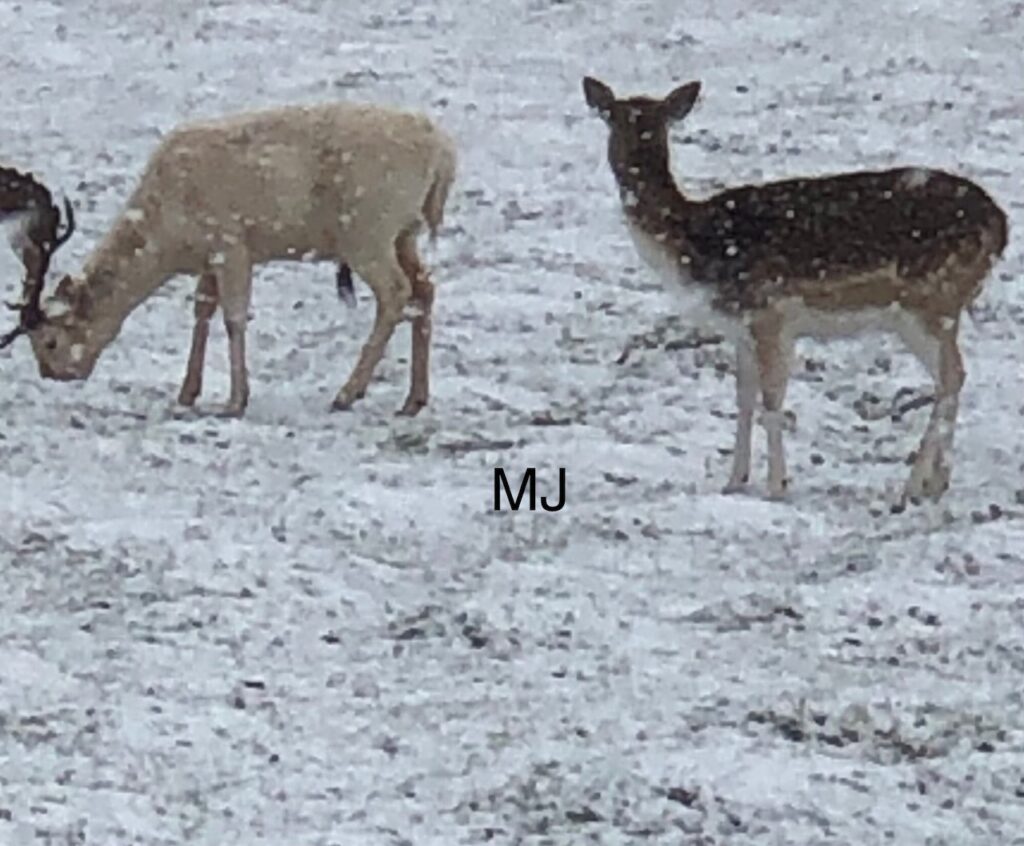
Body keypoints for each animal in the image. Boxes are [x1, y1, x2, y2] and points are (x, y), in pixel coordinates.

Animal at [17, 100, 456, 418]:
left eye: (50, 340)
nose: (53, 374)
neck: (167, 238)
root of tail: (443, 155)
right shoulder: (209, 258)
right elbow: (202, 310)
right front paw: (187, 393)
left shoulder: (231, 243)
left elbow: (233, 317)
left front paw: (233, 401)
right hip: (403, 233)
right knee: (425, 287)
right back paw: (414, 399)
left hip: (368, 231)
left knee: (396, 292)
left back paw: (347, 393)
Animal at [582, 76, 1008, 506]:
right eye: (613, 118)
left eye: (656, 126)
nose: (630, 169)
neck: (695, 245)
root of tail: (1000, 225)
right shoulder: (740, 328)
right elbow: (743, 399)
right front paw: (734, 481)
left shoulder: (770, 312)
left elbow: (772, 400)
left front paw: (776, 487)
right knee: (951, 377)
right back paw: (936, 483)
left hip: (930, 301)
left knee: (952, 375)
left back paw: (912, 486)